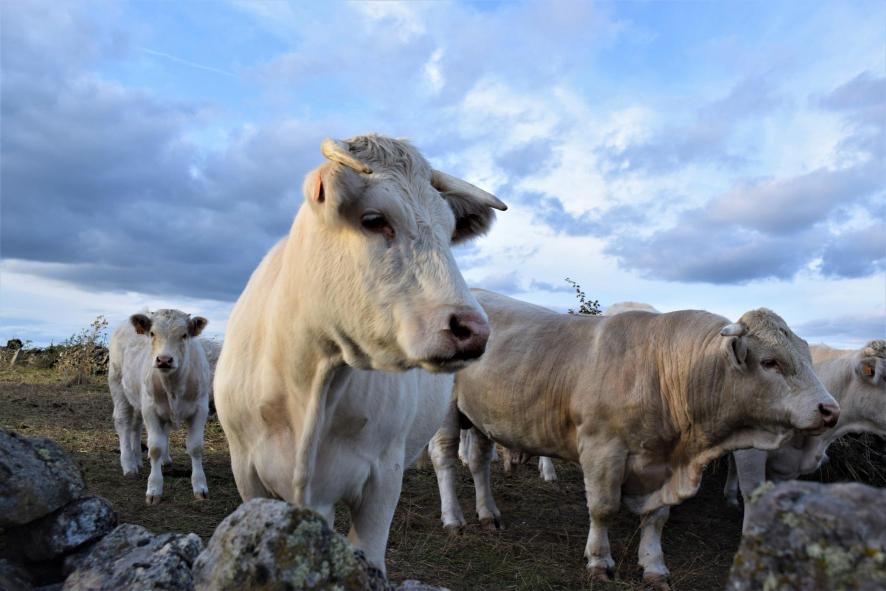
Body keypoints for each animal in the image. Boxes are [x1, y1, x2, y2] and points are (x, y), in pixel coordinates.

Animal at [108, 309, 212, 505]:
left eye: (184, 335)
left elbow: (195, 447)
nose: (164, 360)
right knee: (123, 422)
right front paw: (154, 489)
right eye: (152, 333)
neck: (173, 386)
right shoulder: (151, 409)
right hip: (117, 384)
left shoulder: (200, 409)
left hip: (138, 399)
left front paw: (200, 486)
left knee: (136, 425)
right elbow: (156, 447)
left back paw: (138, 458)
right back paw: (129, 464)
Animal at [213, 134, 506, 572]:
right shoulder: (247, 471)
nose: (473, 330)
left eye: (447, 230)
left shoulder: (383, 476)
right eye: (373, 219)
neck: (310, 381)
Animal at [430, 290, 839, 589]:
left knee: (480, 462)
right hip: (447, 413)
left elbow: (657, 517)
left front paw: (654, 566)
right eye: (771, 362)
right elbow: (603, 508)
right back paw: (454, 518)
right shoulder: (602, 450)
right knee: (445, 458)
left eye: (807, 358)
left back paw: (489, 514)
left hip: (480, 416)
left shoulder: (661, 463)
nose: (830, 409)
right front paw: (599, 559)